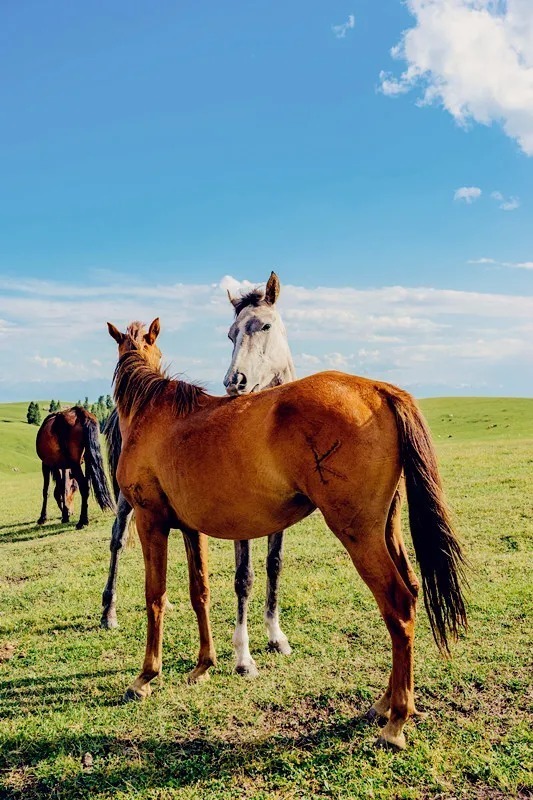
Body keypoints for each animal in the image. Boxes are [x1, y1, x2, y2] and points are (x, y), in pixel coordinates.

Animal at [100, 274, 296, 676]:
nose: (235, 381)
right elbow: (243, 577)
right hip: (128, 501)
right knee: (117, 540)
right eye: (230, 334)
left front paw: (276, 636)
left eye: (265, 326)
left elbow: (274, 565)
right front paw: (243, 656)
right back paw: (108, 612)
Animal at [107, 318, 466, 752]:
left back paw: (396, 720)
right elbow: (199, 592)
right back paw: (388, 702)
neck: (152, 413)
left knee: (398, 606)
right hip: (387, 530)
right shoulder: (192, 529)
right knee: (411, 590)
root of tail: (379, 390)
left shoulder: (150, 521)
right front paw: (203, 665)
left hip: (359, 535)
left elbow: (155, 597)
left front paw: (146, 676)